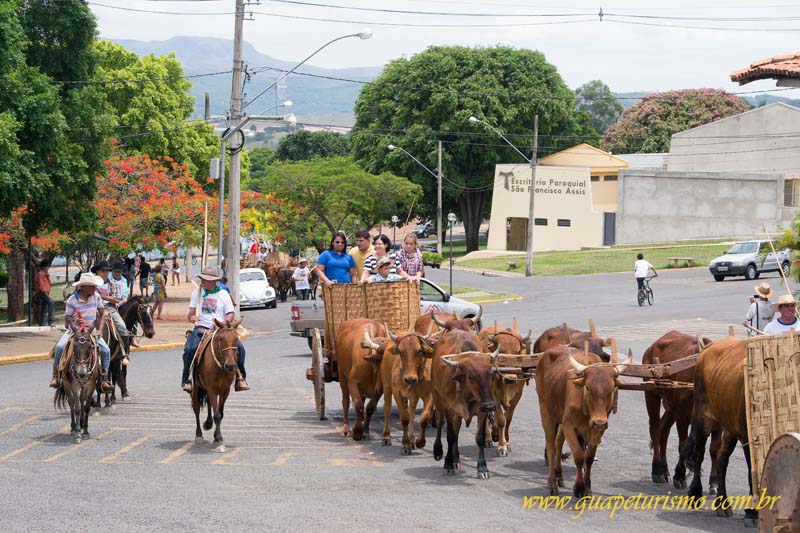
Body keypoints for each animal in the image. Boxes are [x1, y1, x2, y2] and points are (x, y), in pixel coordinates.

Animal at [192, 316, 242, 454]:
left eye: (236, 338)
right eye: (221, 339)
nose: (230, 365)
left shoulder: (225, 390)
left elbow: (220, 413)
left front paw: (216, 437)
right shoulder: (212, 389)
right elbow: (217, 415)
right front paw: (219, 439)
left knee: (209, 404)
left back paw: (208, 423)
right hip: (196, 389)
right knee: (196, 408)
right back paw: (199, 435)